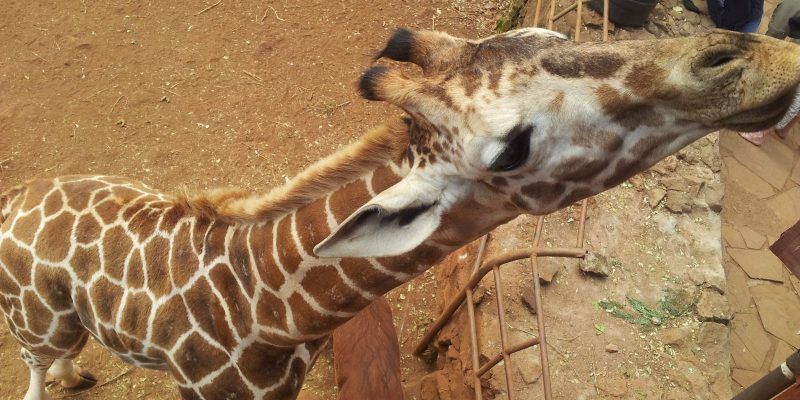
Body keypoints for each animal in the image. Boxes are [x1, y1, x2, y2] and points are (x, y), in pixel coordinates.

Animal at [1, 27, 799, 400]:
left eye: (556, 39)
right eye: (509, 147)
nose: (768, 61)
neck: (267, 314)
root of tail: (15, 197)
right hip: (32, 318)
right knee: (34, 367)